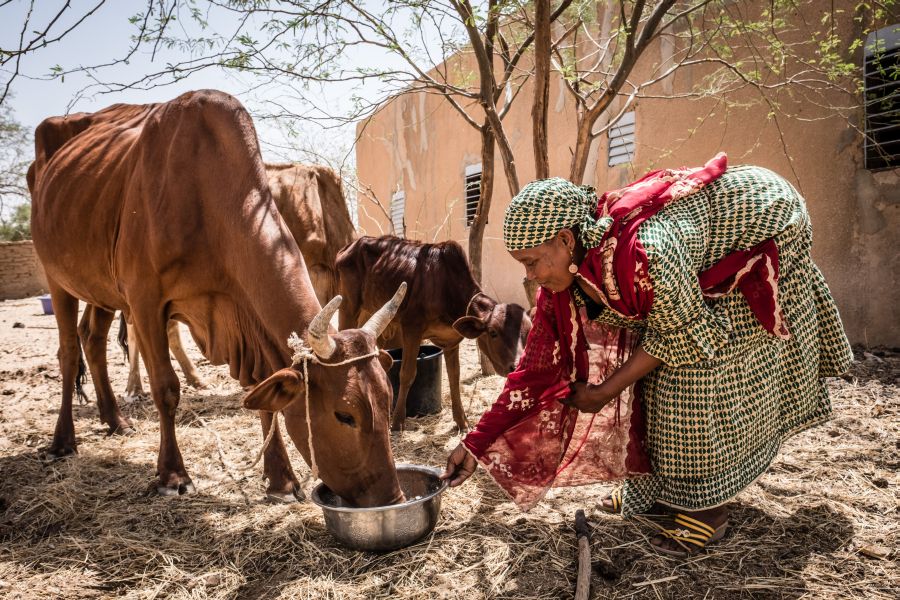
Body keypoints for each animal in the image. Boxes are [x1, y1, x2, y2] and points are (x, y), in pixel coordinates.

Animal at [336, 234, 532, 432]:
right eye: (493, 332)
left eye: (528, 331)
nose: (516, 365)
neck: (447, 289)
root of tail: (351, 245)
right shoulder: (411, 329)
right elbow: (407, 374)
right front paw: (397, 421)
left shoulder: (452, 340)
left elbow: (454, 377)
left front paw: (462, 421)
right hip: (348, 307)